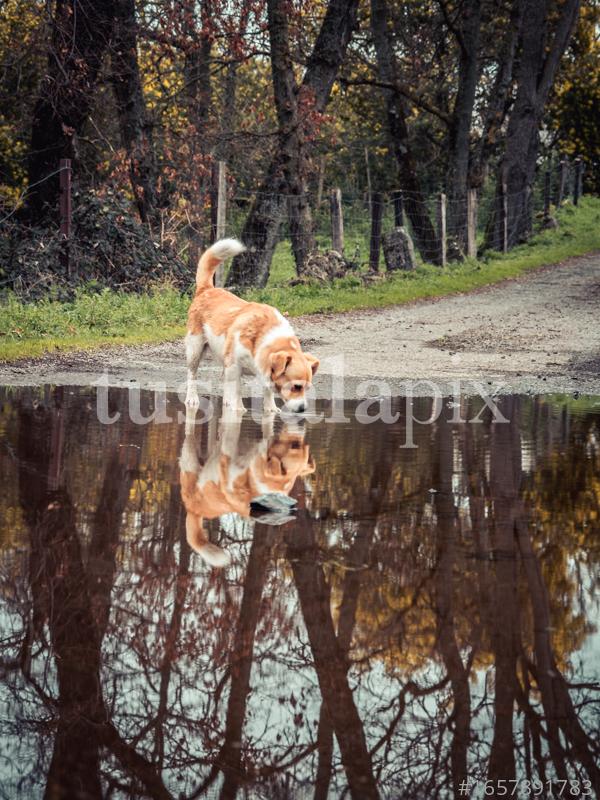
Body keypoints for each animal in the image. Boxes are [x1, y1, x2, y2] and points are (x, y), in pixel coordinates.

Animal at [185, 238, 322, 412]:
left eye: (307, 388)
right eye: (296, 386)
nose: (303, 409)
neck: (262, 336)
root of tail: (207, 289)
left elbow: (266, 392)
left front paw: (270, 409)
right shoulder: (233, 368)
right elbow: (234, 393)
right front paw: (237, 410)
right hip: (195, 350)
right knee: (192, 375)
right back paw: (192, 399)